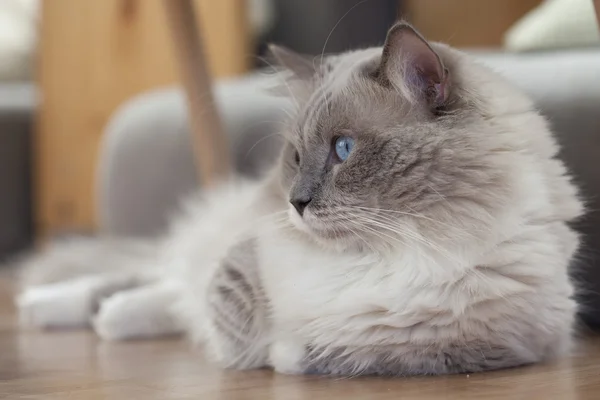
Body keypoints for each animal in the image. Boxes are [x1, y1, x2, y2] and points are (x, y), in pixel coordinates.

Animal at [16, 21, 584, 376]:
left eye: (343, 149)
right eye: (294, 155)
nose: (295, 203)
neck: (392, 251)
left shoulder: (464, 346)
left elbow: (319, 353)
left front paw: (280, 349)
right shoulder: (244, 256)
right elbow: (233, 320)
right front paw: (251, 345)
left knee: (164, 298)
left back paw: (108, 319)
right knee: (153, 283)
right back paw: (47, 308)